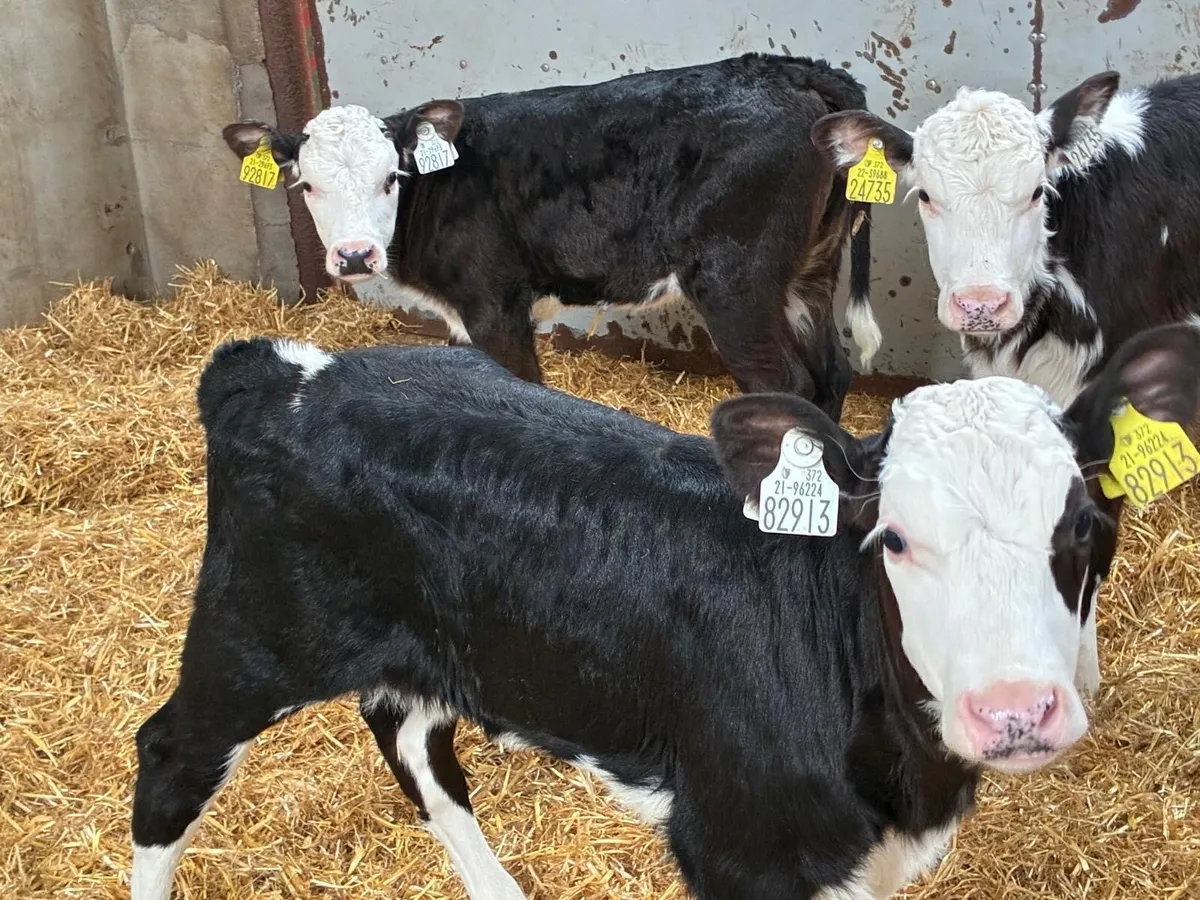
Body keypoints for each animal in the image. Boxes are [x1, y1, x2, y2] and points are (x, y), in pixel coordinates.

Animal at [129, 321, 1200, 899]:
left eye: (1086, 526)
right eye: (892, 538)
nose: (1016, 712)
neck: (903, 784)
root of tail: (284, 368)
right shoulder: (734, 845)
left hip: (430, 646)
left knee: (413, 742)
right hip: (253, 635)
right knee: (170, 754)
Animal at [222, 53, 882, 422]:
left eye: (393, 177)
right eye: (307, 185)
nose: (356, 255)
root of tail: (794, 70)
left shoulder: (494, 307)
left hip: (734, 282)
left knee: (786, 384)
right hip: (810, 271)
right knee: (832, 372)